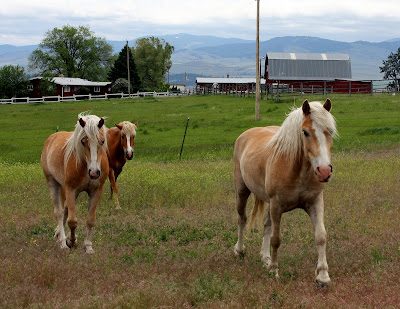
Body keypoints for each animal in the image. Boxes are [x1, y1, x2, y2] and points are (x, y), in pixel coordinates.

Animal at [41, 113, 109, 253]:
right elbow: (72, 221)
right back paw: (62, 242)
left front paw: (88, 246)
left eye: (102, 141)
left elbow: (90, 220)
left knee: (65, 210)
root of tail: (52, 137)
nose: (94, 173)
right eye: (83, 141)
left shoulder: (96, 191)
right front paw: (71, 241)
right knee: (60, 213)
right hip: (53, 184)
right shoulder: (71, 189)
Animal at [234, 98, 338, 286]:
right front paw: (274, 270)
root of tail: (246, 134)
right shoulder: (277, 205)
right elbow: (276, 239)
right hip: (242, 191)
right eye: (305, 132)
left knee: (266, 225)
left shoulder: (316, 202)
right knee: (242, 218)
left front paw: (323, 276)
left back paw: (265, 258)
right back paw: (239, 251)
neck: (297, 171)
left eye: (331, 131)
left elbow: (321, 236)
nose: (324, 171)